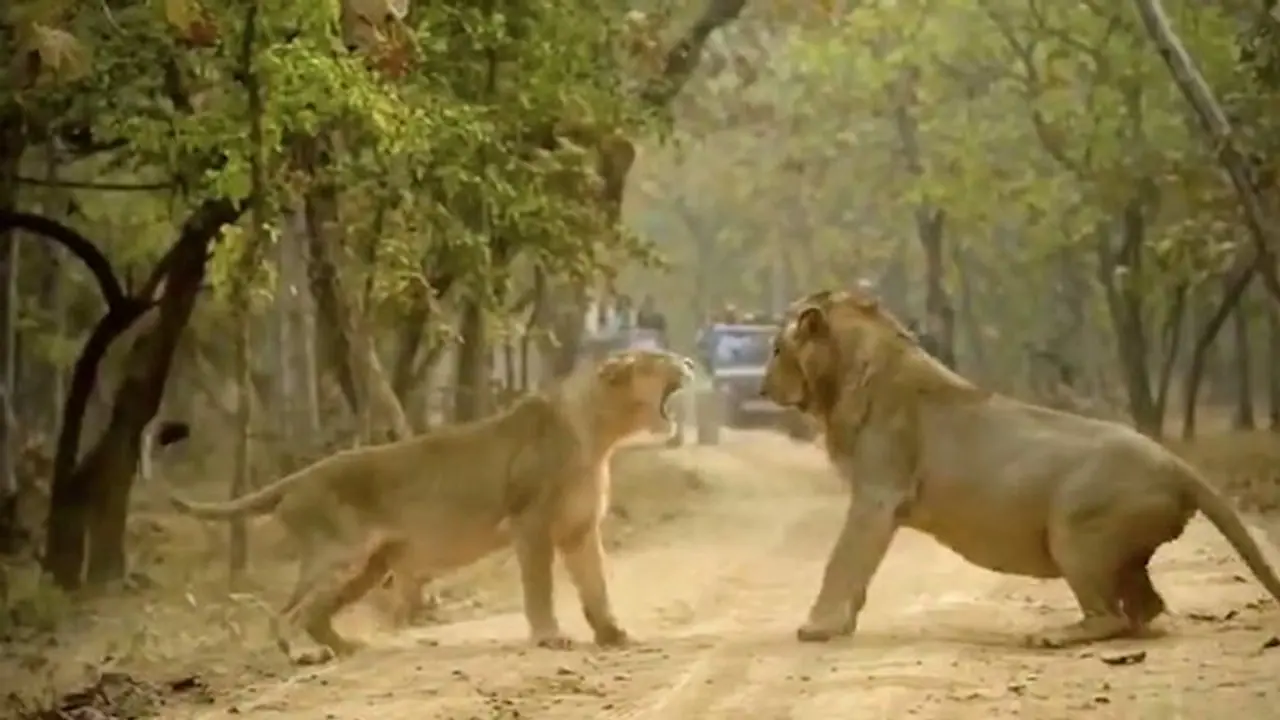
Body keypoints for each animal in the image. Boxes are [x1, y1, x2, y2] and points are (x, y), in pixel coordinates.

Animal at [167, 348, 696, 663]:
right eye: (659, 359)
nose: (689, 363)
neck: (599, 435)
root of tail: (300, 476)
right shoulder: (530, 523)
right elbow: (540, 588)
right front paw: (549, 638)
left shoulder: (578, 529)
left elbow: (595, 585)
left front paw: (612, 633)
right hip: (340, 555)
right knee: (287, 612)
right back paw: (300, 654)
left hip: (368, 567)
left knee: (315, 614)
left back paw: (348, 647)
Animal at [760, 288, 1280, 648]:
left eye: (776, 349)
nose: (763, 387)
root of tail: (1176, 463)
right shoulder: (878, 500)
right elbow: (855, 570)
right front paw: (839, 623)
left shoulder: (877, 494)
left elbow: (842, 561)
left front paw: (818, 627)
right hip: (1119, 552)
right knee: (1145, 608)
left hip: (1074, 532)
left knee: (1110, 615)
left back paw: (1053, 636)